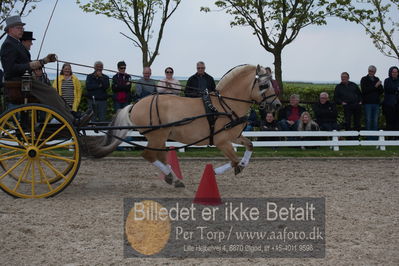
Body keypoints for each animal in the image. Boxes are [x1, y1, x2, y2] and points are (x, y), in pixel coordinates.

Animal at [86, 65, 282, 187]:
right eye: (264, 84)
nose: (277, 105)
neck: (224, 105)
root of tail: (136, 105)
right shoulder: (221, 141)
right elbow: (233, 160)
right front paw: (217, 171)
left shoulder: (233, 136)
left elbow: (250, 145)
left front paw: (239, 165)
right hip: (157, 135)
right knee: (149, 155)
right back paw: (173, 178)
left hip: (161, 137)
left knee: (160, 156)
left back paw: (173, 178)